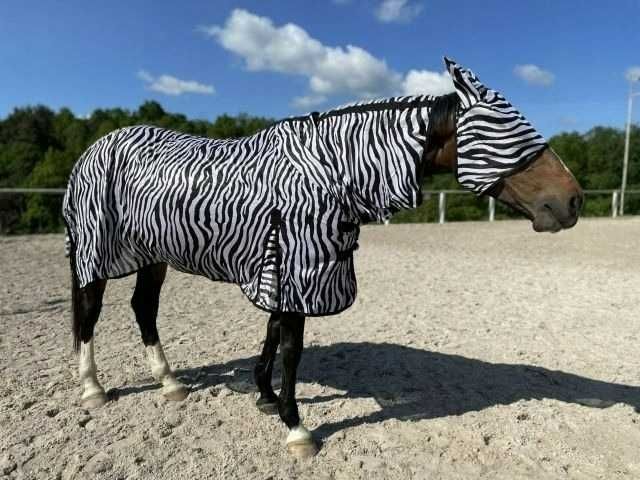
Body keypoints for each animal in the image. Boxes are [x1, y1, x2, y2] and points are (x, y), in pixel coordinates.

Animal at [63, 58, 582, 457]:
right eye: (511, 131)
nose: (571, 201)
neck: (328, 172)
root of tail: (93, 149)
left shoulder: (283, 270)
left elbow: (273, 334)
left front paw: (266, 396)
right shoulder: (295, 266)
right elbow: (291, 347)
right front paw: (296, 428)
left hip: (153, 255)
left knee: (143, 309)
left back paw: (170, 383)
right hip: (96, 252)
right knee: (90, 312)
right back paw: (92, 390)